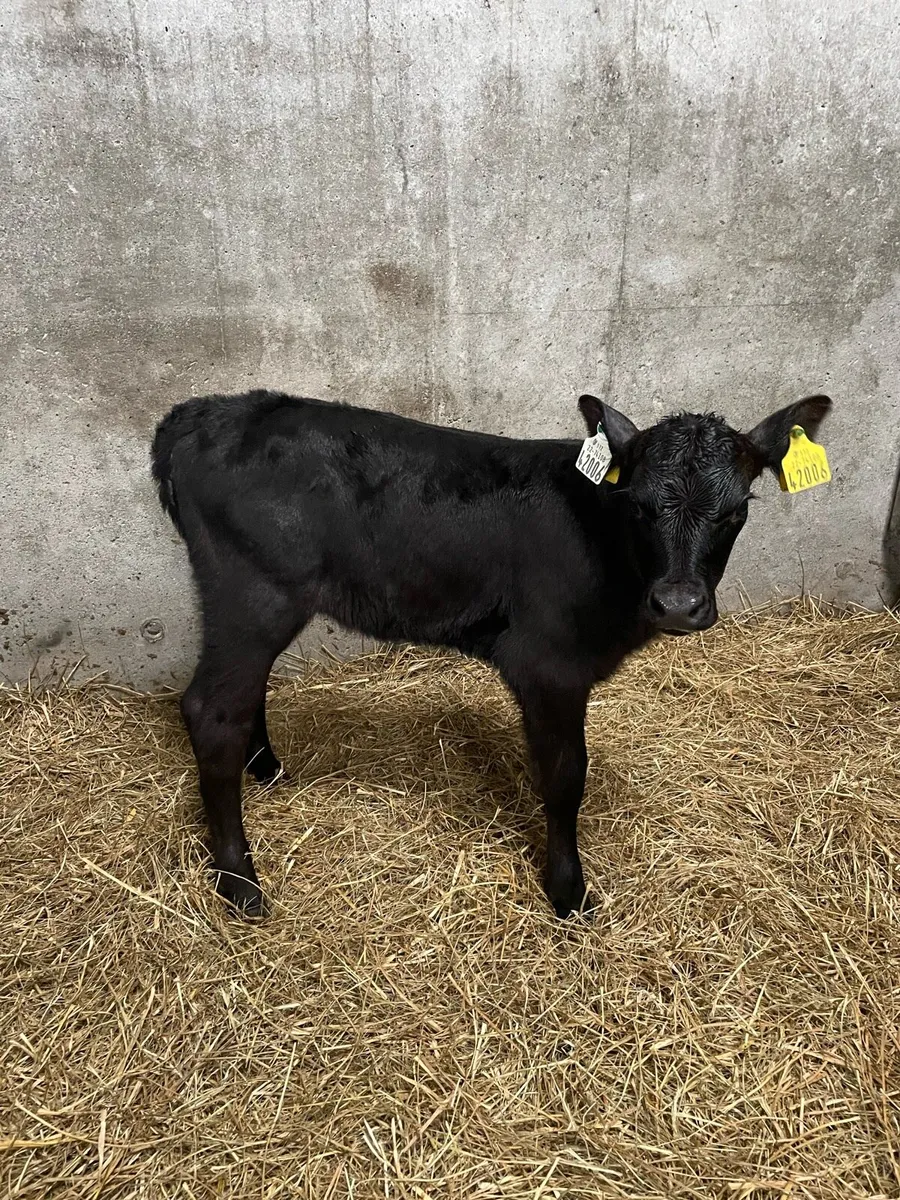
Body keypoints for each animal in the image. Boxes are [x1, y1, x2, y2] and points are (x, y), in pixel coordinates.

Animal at [151, 388, 831, 919]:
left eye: (737, 510)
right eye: (638, 505)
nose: (679, 604)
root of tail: (200, 413)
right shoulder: (550, 664)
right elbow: (565, 776)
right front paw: (569, 893)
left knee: (244, 693)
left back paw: (266, 769)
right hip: (253, 593)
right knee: (212, 709)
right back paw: (240, 884)